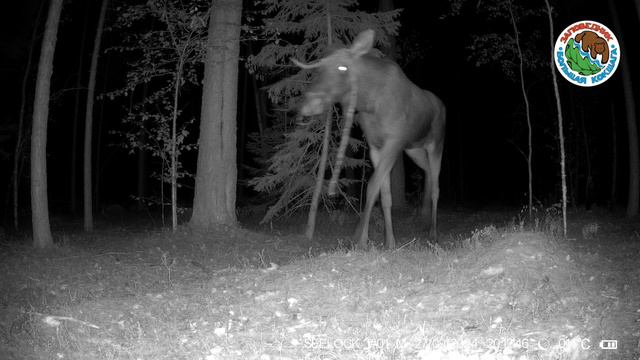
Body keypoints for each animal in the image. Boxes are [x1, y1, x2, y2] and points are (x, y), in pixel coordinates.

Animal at [294, 29, 444, 249]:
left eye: (343, 67)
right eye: (319, 68)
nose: (307, 105)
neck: (370, 103)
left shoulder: (393, 142)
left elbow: (372, 187)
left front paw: (359, 238)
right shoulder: (375, 146)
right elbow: (384, 195)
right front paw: (388, 241)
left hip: (436, 144)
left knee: (436, 186)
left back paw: (434, 232)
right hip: (413, 149)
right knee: (427, 172)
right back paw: (424, 219)